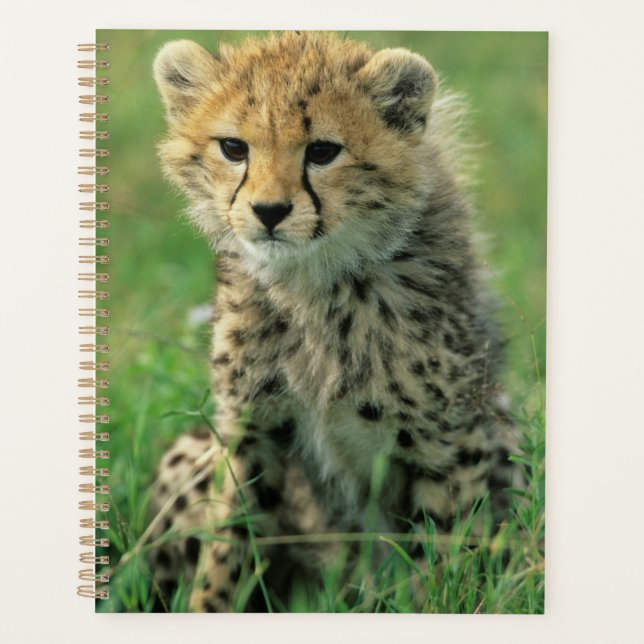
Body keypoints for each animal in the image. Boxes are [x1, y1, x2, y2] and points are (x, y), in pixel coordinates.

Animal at [147, 31, 523, 613]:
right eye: (234, 148)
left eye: (322, 151)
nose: (269, 211)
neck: (314, 283)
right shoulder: (250, 426)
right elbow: (228, 544)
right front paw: (209, 606)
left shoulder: (449, 441)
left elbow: (446, 556)